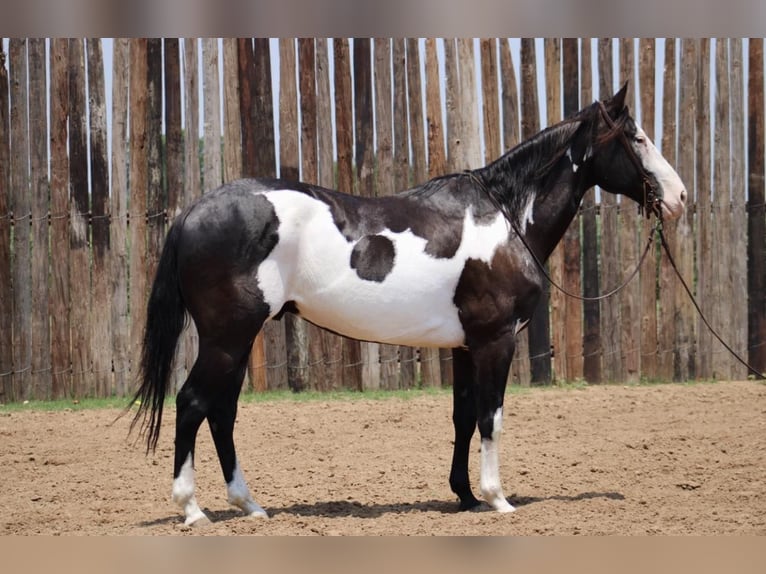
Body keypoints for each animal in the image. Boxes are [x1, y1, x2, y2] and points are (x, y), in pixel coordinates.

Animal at [129, 83, 688, 528]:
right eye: (637, 137)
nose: (680, 197)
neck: (506, 217)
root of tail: (192, 213)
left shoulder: (465, 346)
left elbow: (464, 417)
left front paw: (465, 496)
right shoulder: (496, 340)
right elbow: (491, 417)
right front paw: (497, 499)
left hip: (238, 341)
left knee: (221, 412)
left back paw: (249, 505)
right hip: (227, 338)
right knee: (193, 404)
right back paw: (193, 510)